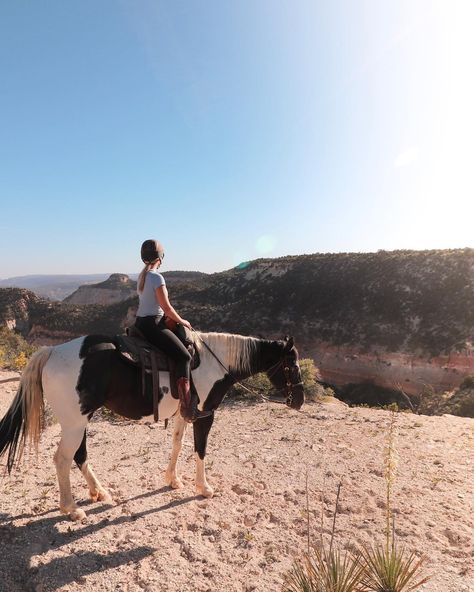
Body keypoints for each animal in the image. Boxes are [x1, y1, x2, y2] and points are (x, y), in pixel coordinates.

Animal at [0, 330, 304, 520]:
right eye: (292, 365)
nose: (299, 400)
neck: (216, 363)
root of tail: (51, 351)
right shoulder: (205, 414)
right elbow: (200, 449)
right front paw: (204, 487)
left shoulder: (185, 413)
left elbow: (178, 443)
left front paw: (173, 479)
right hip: (75, 423)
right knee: (63, 459)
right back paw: (71, 509)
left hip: (79, 420)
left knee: (79, 454)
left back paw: (99, 492)